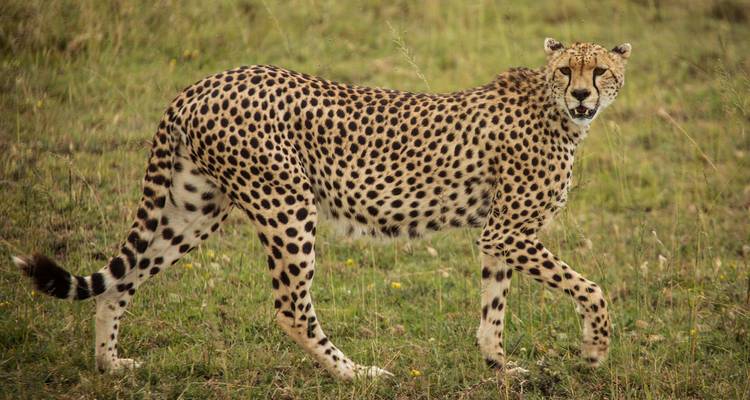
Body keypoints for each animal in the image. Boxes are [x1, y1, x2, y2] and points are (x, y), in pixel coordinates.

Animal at [14, 38, 631, 380]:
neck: (556, 111)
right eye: (566, 71)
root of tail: (204, 82)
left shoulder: (497, 235)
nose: (582, 95)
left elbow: (493, 309)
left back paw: (109, 365)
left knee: (120, 281)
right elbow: (592, 288)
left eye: (598, 71)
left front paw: (499, 366)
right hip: (288, 205)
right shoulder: (507, 231)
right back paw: (357, 374)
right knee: (291, 308)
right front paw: (594, 352)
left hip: (194, 209)